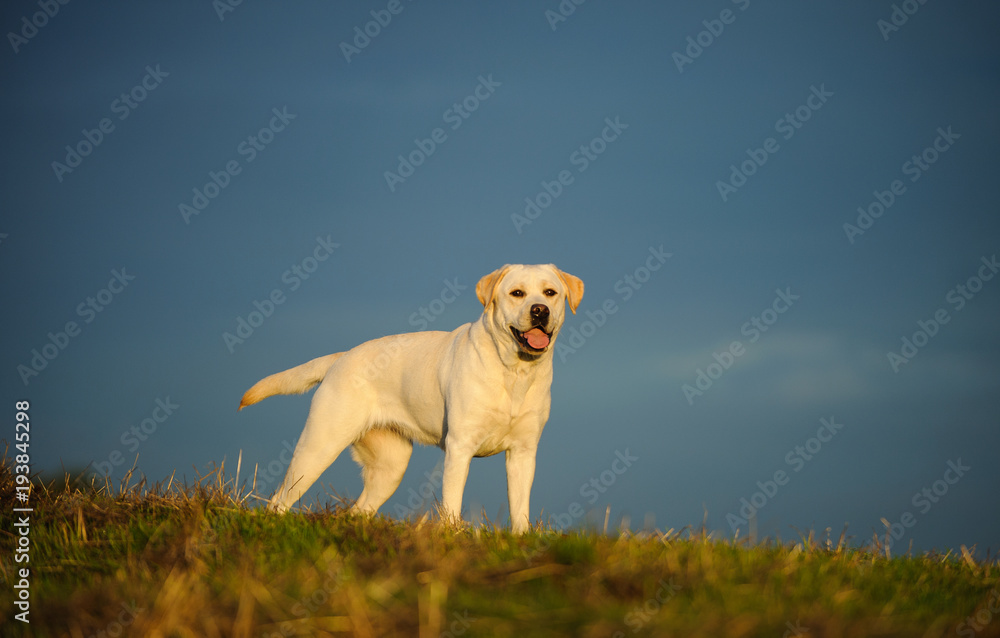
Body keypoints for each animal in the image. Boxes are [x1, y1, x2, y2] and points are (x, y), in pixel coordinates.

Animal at [239, 264, 584, 536]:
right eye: (517, 293)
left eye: (550, 292)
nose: (540, 310)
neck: (514, 373)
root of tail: (341, 357)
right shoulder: (460, 447)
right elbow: (452, 500)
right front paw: (451, 535)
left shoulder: (523, 453)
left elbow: (520, 508)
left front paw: (521, 540)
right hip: (318, 448)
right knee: (279, 501)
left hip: (391, 467)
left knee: (358, 511)